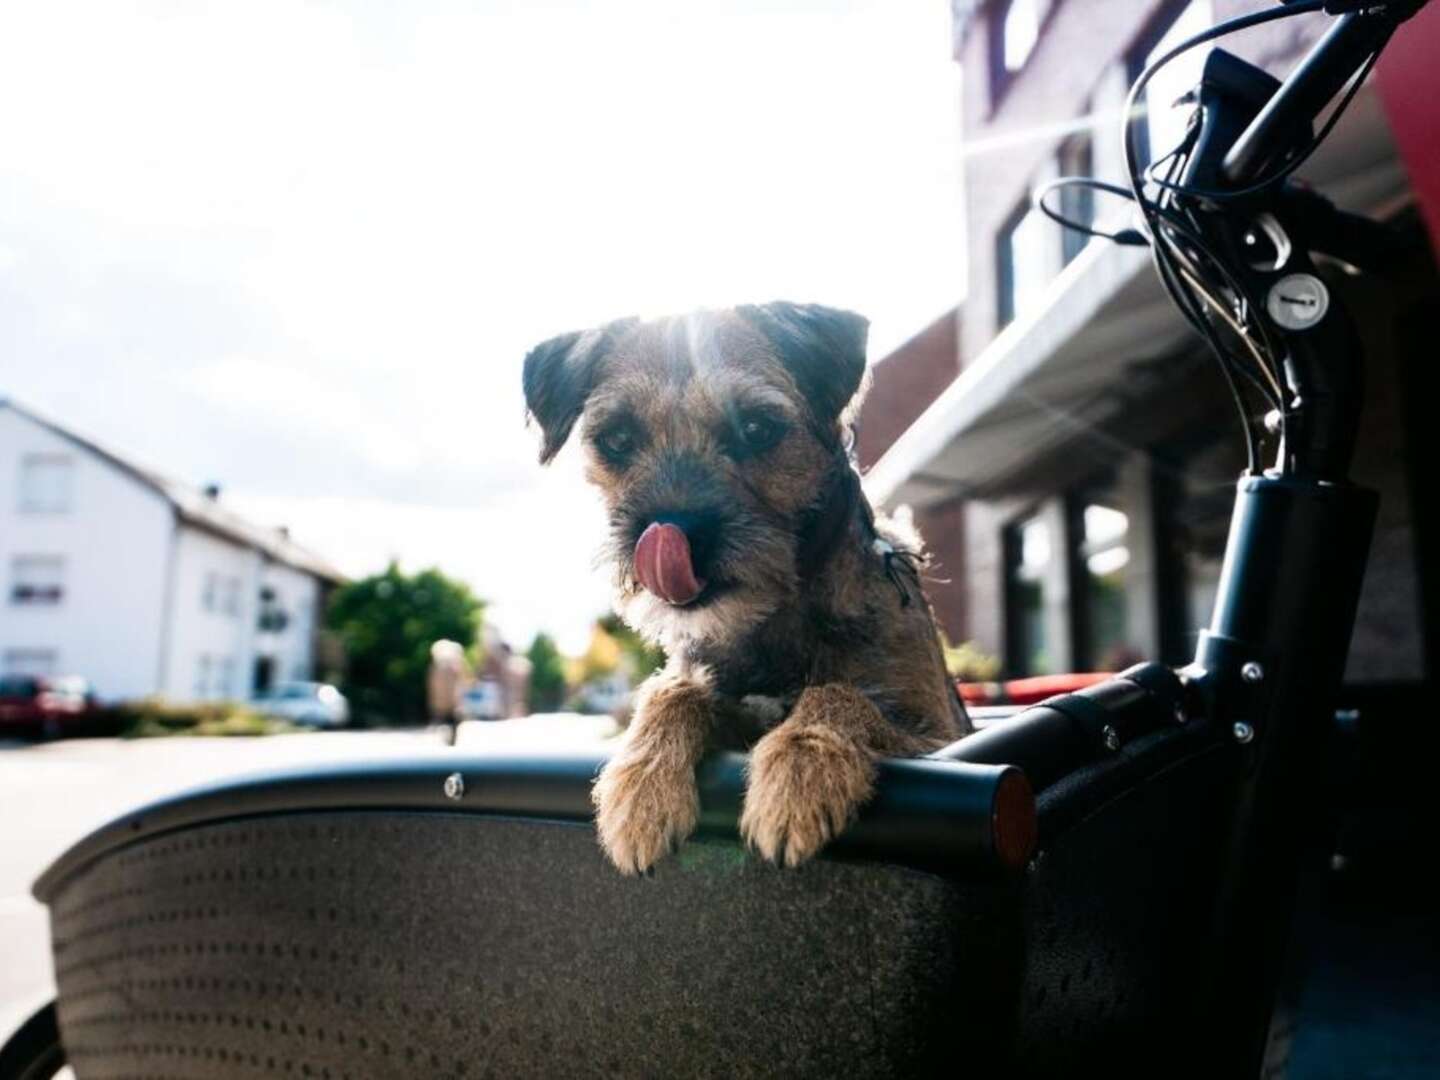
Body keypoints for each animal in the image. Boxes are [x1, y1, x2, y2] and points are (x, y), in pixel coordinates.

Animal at [518, 300, 967, 875]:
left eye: (756, 428)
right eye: (617, 438)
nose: (673, 530)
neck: (774, 617)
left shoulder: (940, 737)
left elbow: (840, 694)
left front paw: (797, 775)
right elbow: (674, 689)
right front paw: (641, 786)